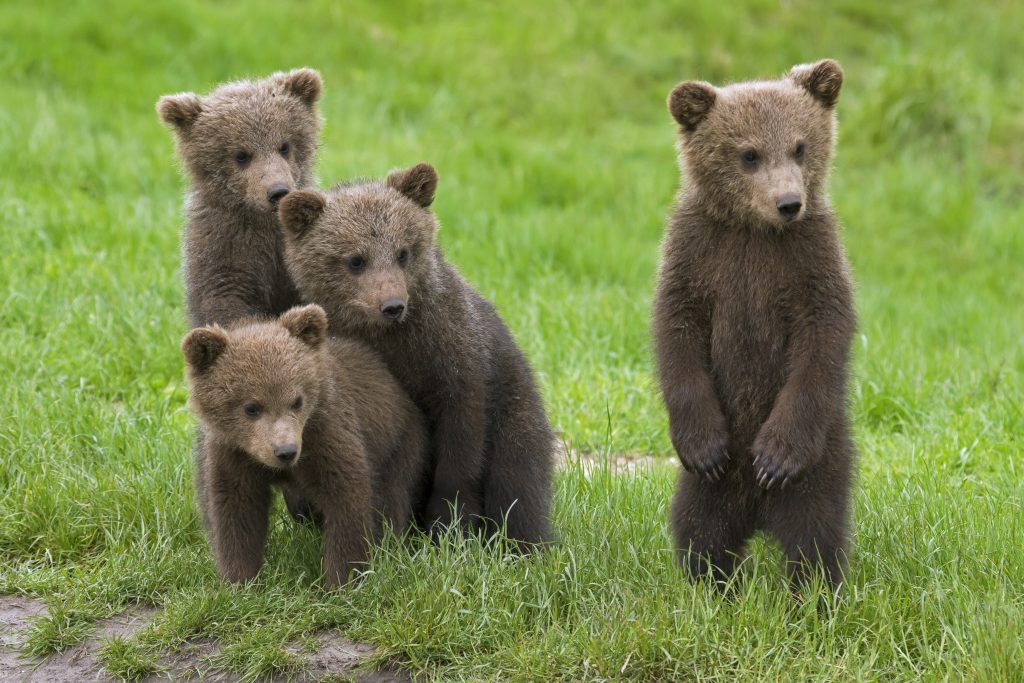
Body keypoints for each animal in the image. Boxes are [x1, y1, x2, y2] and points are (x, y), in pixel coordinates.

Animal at [182, 304, 430, 588]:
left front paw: (341, 579)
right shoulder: (233, 453)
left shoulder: (325, 435)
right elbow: (236, 508)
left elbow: (346, 497)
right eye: (251, 407)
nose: (286, 452)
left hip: (399, 442)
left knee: (392, 497)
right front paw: (240, 580)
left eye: (297, 400)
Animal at [276, 164, 555, 552]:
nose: (392, 305)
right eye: (355, 260)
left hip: (516, 410)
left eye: (402, 252)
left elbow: (460, 446)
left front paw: (450, 526)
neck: (392, 340)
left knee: (518, 483)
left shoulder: (454, 359)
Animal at [653, 59, 856, 589]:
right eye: (748, 154)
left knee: (815, 533)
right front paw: (704, 445)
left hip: (824, 459)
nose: (788, 202)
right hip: (708, 488)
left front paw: (775, 457)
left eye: (800, 146)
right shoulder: (700, 254)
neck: (754, 231)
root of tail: (759, 515)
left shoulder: (808, 262)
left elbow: (823, 338)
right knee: (700, 529)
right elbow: (676, 331)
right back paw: (713, 587)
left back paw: (812, 593)